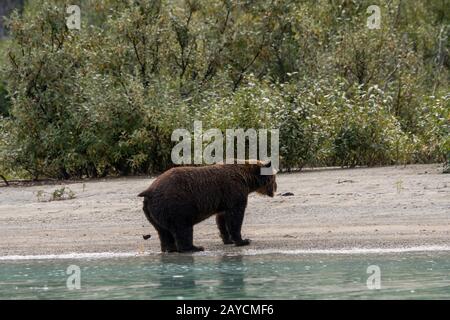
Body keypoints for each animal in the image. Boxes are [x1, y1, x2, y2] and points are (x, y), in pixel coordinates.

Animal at [139, 161, 276, 254]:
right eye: (274, 178)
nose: (275, 188)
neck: (246, 179)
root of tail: (149, 191)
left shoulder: (224, 200)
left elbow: (222, 219)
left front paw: (228, 239)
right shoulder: (234, 191)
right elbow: (235, 216)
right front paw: (243, 240)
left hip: (153, 212)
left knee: (163, 231)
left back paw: (169, 249)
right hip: (175, 205)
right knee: (182, 227)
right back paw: (194, 247)